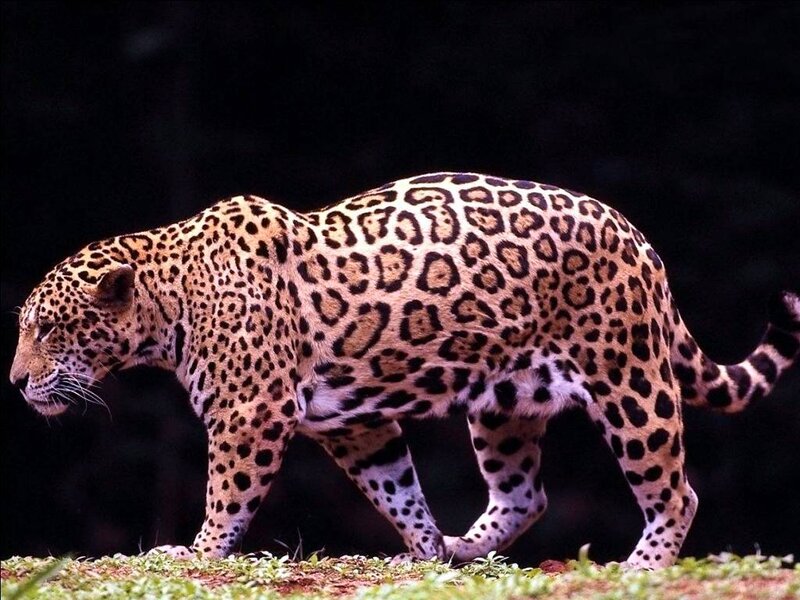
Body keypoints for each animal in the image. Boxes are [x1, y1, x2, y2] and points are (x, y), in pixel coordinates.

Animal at [10, 172, 800, 569]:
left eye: (47, 329)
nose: (16, 382)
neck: (168, 300)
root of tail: (640, 239)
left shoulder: (250, 415)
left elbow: (227, 497)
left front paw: (194, 554)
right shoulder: (355, 426)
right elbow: (399, 491)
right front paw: (421, 551)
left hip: (628, 379)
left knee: (676, 492)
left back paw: (644, 567)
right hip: (504, 404)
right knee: (525, 495)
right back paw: (462, 546)